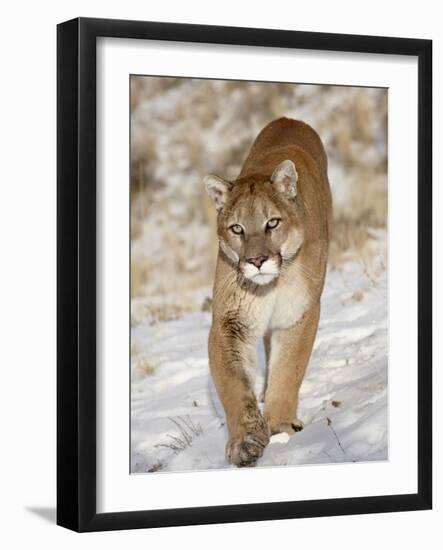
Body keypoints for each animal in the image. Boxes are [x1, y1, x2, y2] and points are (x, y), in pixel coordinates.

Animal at [206, 118, 332, 468]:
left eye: (272, 223)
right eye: (236, 228)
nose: (257, 260)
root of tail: (289, 119)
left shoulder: (299, 313)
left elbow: (289, 367)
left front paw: (280, 424)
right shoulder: (231, 321)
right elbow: (234, 384)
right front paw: (245, 442)